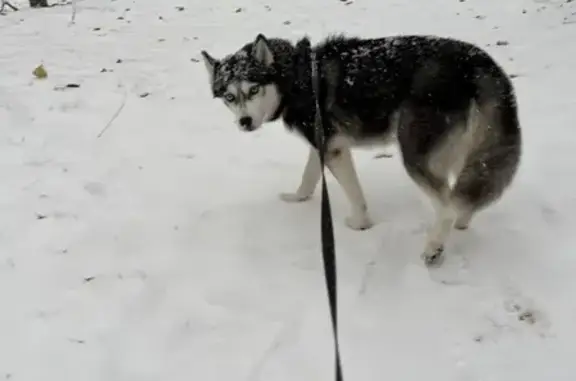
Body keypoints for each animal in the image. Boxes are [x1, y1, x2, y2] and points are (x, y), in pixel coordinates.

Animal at [201, 34, 520, 266]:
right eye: (229, 96)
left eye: (253, 89)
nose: (245, 122)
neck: (295, 78)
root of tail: (475, 60)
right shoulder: (323, 143)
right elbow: (308, 175)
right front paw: (298, 197)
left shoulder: (334, 150)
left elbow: (354, 194)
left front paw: (360, 224)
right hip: (456, 151)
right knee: (464, 192)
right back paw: (463, 220)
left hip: (416, 154)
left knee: (447, 205)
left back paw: (434, 247)